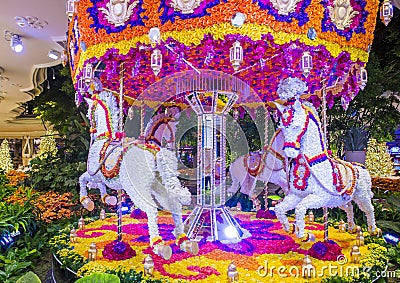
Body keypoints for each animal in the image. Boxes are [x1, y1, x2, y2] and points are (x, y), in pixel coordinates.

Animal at [77, 89, 192, 260]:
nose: (90, 128)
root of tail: (155, 152)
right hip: (158, 186)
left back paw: (159, 245)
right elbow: (98, 185)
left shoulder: (96, 173)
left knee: (152, 209)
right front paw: (109, 199)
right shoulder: (102, 178)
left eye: (89, 111)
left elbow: (84, 179)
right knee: (174, 205)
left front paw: (87, 202)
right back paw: (183, 240)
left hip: (137, 188)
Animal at [272, 77, 378, 240]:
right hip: (341, 200)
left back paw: (373, 230)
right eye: (282, 128)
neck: (312, 163)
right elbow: (279, 208)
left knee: (369, 209)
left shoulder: (320, 197)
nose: (289, 151)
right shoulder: (296, 195)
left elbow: (300, 208)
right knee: (349, 207)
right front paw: (288, 227)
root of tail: (362, 168)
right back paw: (351, 227)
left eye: (296, 126)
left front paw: (301, 234)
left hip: (362, 196)